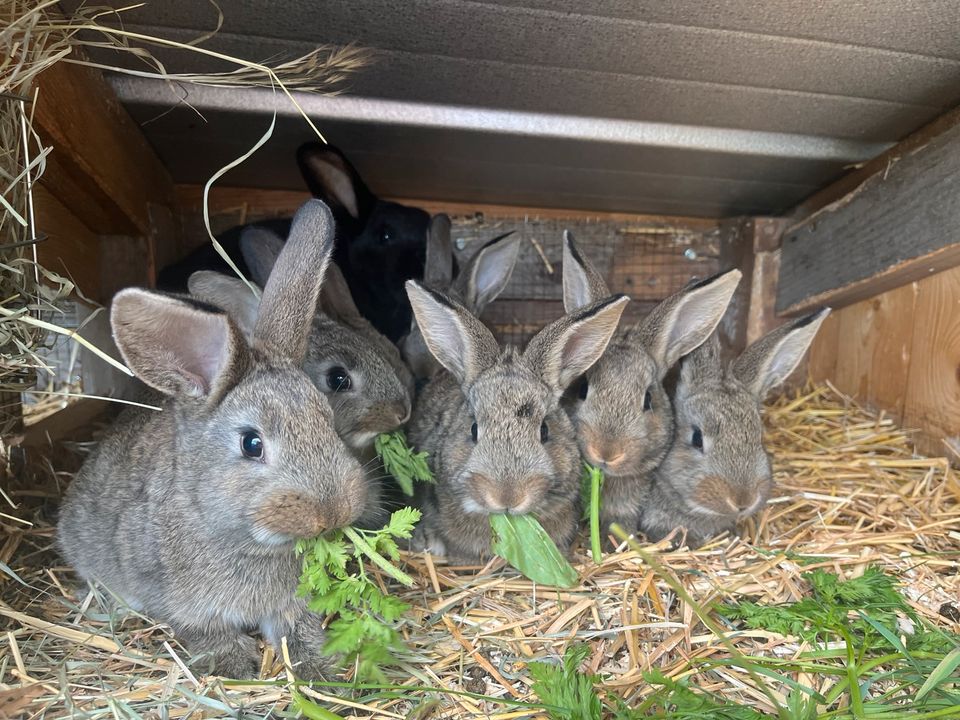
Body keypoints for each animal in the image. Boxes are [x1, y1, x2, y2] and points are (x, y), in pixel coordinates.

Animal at [58, 201, 368, 680]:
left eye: (328, 420)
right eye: (251, 444)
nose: (332, 512)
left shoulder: (290, 605)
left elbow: (298, 629)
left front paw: (320, 668)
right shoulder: (176, 600)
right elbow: (204, 631)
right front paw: (233, 665)